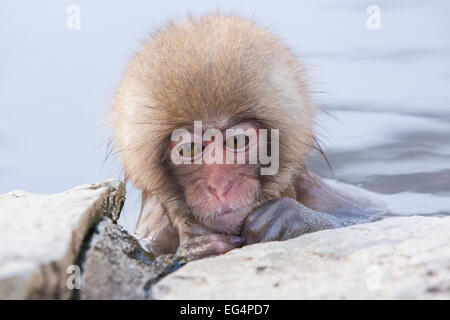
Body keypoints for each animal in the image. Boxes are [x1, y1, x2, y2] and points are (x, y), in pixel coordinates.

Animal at [110, 13, 384, 262]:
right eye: (189, 149)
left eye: (236, 142)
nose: (219, 186)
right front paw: (194, 247)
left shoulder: (336, 200)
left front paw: (292, 218)